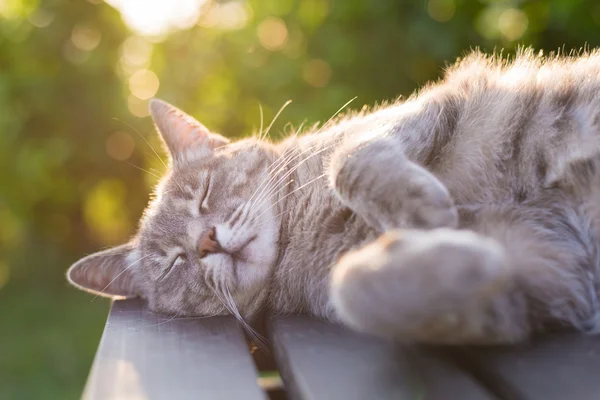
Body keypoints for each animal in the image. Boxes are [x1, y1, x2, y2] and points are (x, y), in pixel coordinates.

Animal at [68, 49, 600, 344]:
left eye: (203, 195)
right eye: (173, 263)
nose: (206, 242)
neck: (300, 232)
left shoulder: (411, 114)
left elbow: (347, 160)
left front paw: (419, 209)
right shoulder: (543, 275)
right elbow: (358, 289)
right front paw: (453, 255)